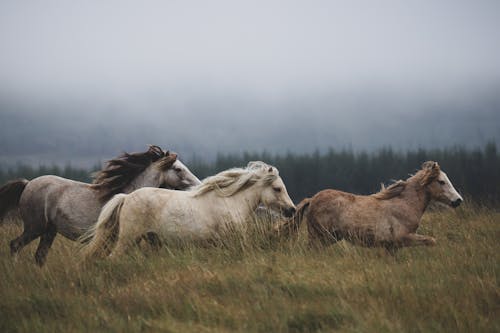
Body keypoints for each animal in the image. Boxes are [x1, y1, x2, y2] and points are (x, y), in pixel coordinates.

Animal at [0, 144, 199, 264]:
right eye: (178, 169)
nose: (197, 185)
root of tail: (27, 184)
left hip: (49, 231)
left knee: (40, 255)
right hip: (35, 226)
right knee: (15, 245)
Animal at [276, 160, 462, 248]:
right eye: (441, 181)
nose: (458, 200)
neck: (405, 205)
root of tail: (312, 199)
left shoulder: (390, 247)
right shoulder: (403, 238)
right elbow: (431, 241)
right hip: (320, 237)